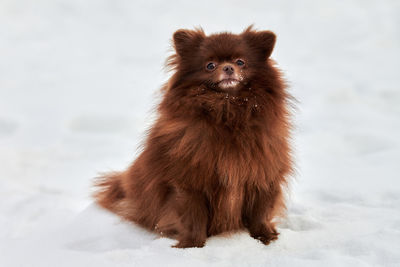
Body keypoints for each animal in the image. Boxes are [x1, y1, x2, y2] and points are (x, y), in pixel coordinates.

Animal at [95, 26, 292, 248]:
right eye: (210, 65)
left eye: (241, 62)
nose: (228, 68)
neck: (227, 110)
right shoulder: (189, 183)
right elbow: (193, 217)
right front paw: (191, 245)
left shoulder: (263, 174)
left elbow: (261, 211)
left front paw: (264, 236)